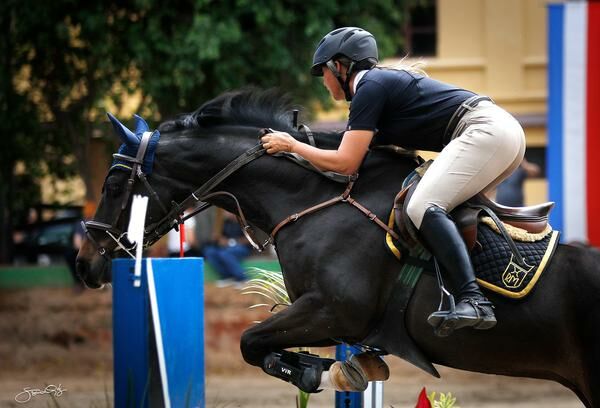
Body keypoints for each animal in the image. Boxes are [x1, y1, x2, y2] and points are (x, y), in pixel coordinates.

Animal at [75, 88, 600, 404]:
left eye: (115, 183)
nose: (84, 265)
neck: (312, 199)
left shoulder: (333, 310)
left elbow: (251, 342)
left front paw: (323, 373)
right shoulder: (331, 315)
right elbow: (261, 344)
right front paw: (351, 367)